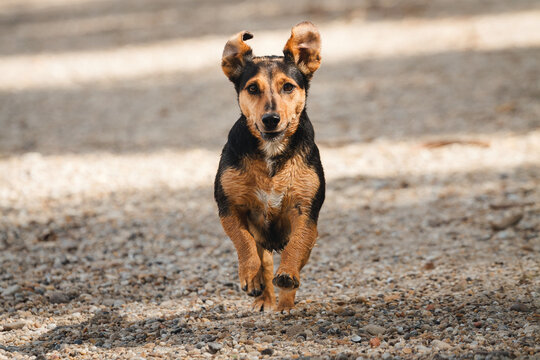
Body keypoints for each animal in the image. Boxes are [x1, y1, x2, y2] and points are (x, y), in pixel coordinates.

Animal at [214, 21, 324, 312]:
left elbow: (297, 245)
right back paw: (262, 293)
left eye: (288, 87)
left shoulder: (305, 210)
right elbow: (244, 242)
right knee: (261, 255)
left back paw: (285, 301)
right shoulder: (228, 207)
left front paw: (286, 275)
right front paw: (250, 276)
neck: (271, 153)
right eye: (252, 88)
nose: (271, 119)